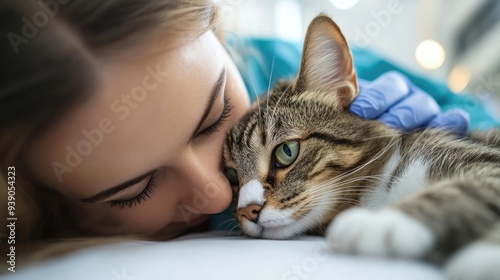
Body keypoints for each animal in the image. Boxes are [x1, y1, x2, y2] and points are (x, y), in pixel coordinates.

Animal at [223, 13, 500, 278]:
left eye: (287, 151)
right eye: (231, 175)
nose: (248, 210)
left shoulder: (483, 160)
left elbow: (460, 190)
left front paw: (383, 222)